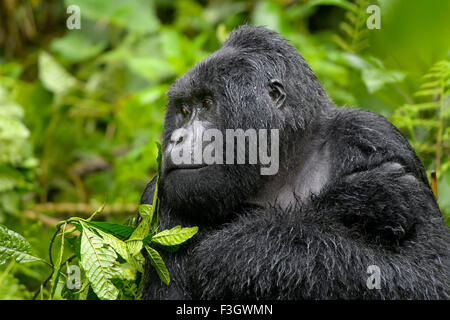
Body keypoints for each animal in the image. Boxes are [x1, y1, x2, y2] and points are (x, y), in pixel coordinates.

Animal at [140, 25, 446, 300]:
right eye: (183, 110)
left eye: (206, 104)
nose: (176, 138)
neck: (284, 163)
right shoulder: (158, 199)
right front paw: (366, 198)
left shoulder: (375, 133)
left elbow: (428, 275)